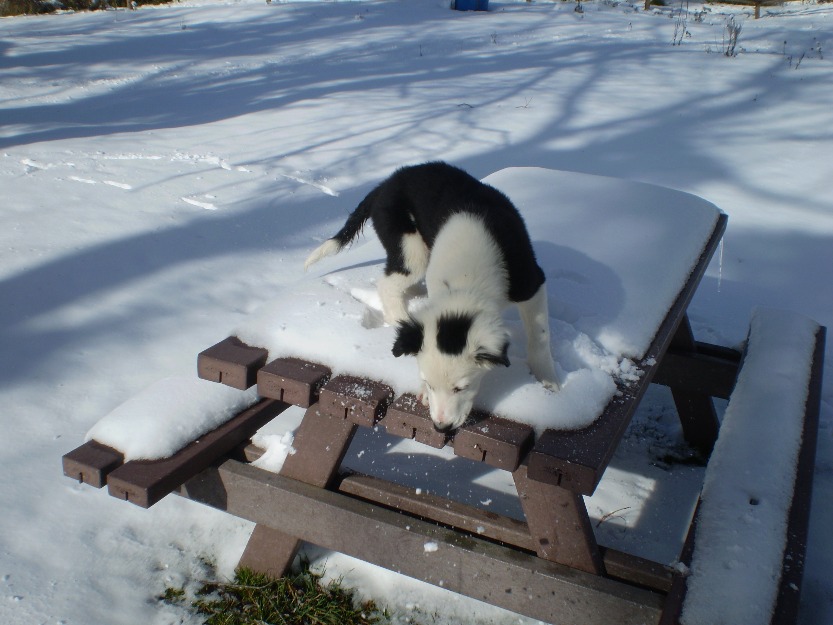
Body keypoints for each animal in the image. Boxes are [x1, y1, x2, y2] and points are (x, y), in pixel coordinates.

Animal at [304, 163, 560, 432]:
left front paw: (548, 382)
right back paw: (400, 318)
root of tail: (387, 183)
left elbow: (540, 336)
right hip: (409, 248)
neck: (467, 279)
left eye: (461, 387)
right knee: (388, 284)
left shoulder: (531, 282)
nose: (441, 427)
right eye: (429, 383)